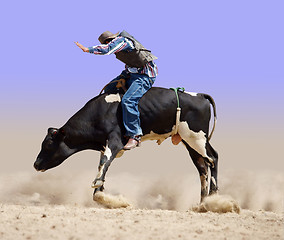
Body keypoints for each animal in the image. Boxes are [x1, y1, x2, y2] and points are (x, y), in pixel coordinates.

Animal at [33, 87, 220, 202]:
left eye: (48, 144)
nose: (36, 164)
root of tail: (200, 95)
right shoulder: (104, 144)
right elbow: (102, 166)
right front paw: (102, 195)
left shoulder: (115, 141)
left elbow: (104, 162)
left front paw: (101, 193)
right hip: (189, 142)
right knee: (202, 168)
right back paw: (202, 203)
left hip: (197, 138)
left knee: (213, 158)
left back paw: (214, 197)